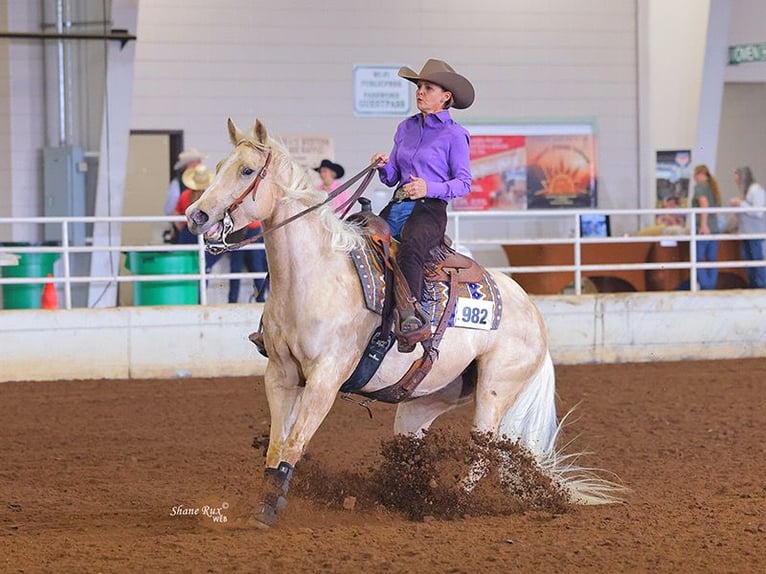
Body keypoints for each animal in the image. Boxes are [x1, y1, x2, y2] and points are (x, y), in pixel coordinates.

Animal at [186, 118, 618, 527]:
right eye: (219, 166)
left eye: (246, 170)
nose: (196, 215)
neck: (314, 274)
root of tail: (533, 312)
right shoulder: (280, 373)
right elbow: (277, 444)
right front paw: (263, 503)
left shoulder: (326, 377)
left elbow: (295, 442)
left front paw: (269, 511)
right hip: (422, 402)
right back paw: (412, 501)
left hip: (495, 390)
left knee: (482, 454)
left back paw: (451, 506)